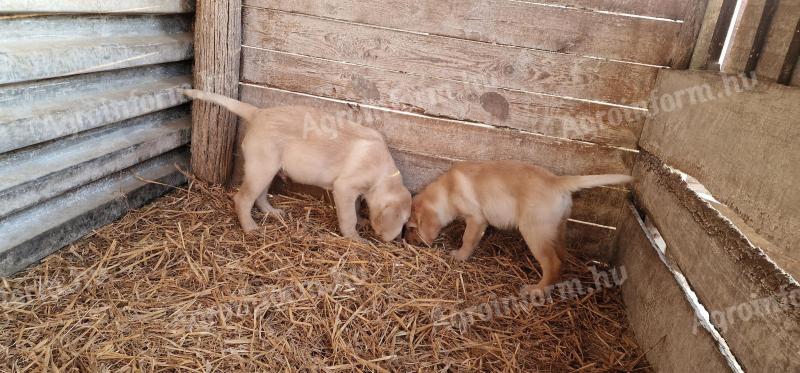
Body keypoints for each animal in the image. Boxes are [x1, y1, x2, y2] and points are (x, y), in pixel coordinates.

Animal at [182, 89, 412, 241]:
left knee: (260, 196)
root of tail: (258, 113)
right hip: (261, 168)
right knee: (243, 199)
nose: (397, 240)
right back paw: (250, 227)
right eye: (402, 222)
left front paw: (362, 220)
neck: (383, 172)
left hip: (269, 168)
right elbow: (348, 217)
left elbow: (355, 208)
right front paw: (355, 239)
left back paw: (272, 212)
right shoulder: (344, 188)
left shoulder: (353, 192)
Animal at [406, 160, 632, 294]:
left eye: (410, 228)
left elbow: (467, 239)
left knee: (552, 263)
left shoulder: (476, 218)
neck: (447, 190)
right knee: (562, 253)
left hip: (535, 232)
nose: (407, 242)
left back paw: (536, 289)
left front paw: (459, 256)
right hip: (557, 227)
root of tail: (557, 181)